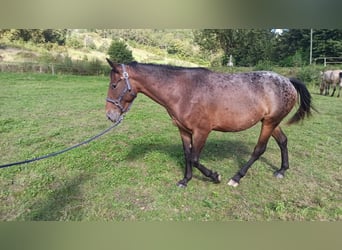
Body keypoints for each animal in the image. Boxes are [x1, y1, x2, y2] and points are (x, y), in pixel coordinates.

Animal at [105, 59, 314, 188]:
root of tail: (287, 80)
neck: (183, 91)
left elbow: (195, 159)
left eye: (114, 85)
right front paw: (185, 180)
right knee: (283, 141)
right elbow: (187, 155)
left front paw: (215, 176)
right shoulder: (183, 130)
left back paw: (236, 178)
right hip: (272, 122)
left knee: (259, 150)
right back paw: (282, 170)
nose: (110, 115)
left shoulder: (202, 131)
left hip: (269, 123)